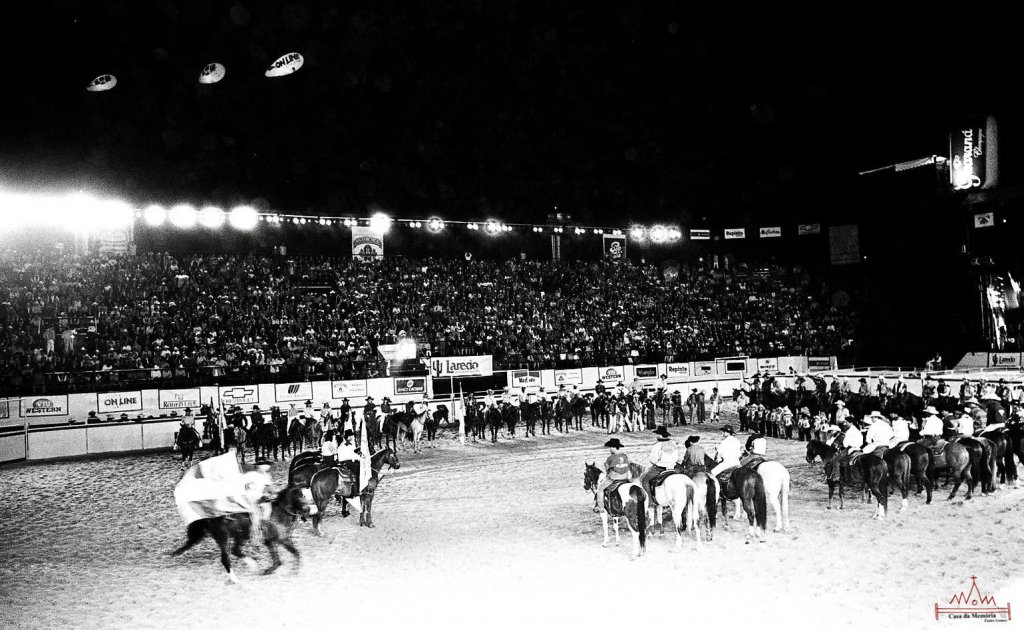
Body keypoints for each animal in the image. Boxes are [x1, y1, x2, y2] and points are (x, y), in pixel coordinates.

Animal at [172, 485, 315, 585]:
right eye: (302, 496)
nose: (310, 509)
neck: (279, 513)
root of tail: (209, 514)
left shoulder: (275, 541)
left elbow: (284, 558)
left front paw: (271, 571)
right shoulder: (279, 540)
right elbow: (288, 556)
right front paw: (289, 571)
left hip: (239, 536)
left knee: (236, 551)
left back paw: (253, 565)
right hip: (224, 537)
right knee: (226, 558)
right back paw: (236, 579)